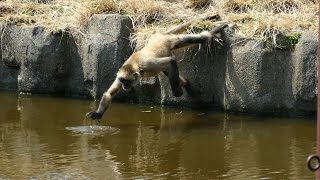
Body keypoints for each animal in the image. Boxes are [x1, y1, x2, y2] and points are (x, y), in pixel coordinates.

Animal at [87, 14, 228, 119]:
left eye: (128, 82)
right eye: (123, 82)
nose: (125, 87)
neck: (134, 65)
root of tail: (160, 35)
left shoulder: (147, 65)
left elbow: (171, 61)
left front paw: (177, 93)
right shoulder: (120, 72)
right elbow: (108, 94)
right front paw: (97, 113)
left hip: (172, 41)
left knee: (201, 39)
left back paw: (215, 31)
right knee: (167, 70)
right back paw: (186, 84)